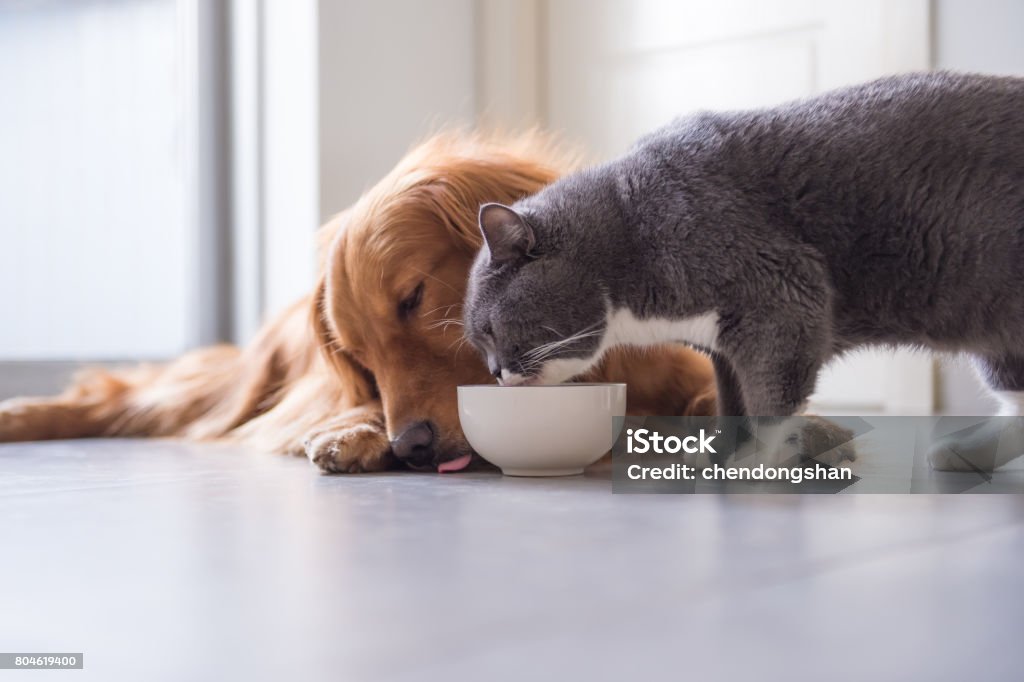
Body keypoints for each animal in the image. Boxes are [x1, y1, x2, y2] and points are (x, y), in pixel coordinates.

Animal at [0, 133, 712, 473]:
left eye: (414, 298)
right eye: (359, 355)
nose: (413, 446)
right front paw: (356, 434)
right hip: (224, 390)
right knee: (118, 398)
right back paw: (22, 416)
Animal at [464, 74, 1024, 425]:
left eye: (489, 330)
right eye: (478, 343)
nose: (493, 372)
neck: (629, 230)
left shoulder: (783, 298)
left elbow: (771, 404)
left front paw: (762, 469)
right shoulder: (722, 348)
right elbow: (732, 407)